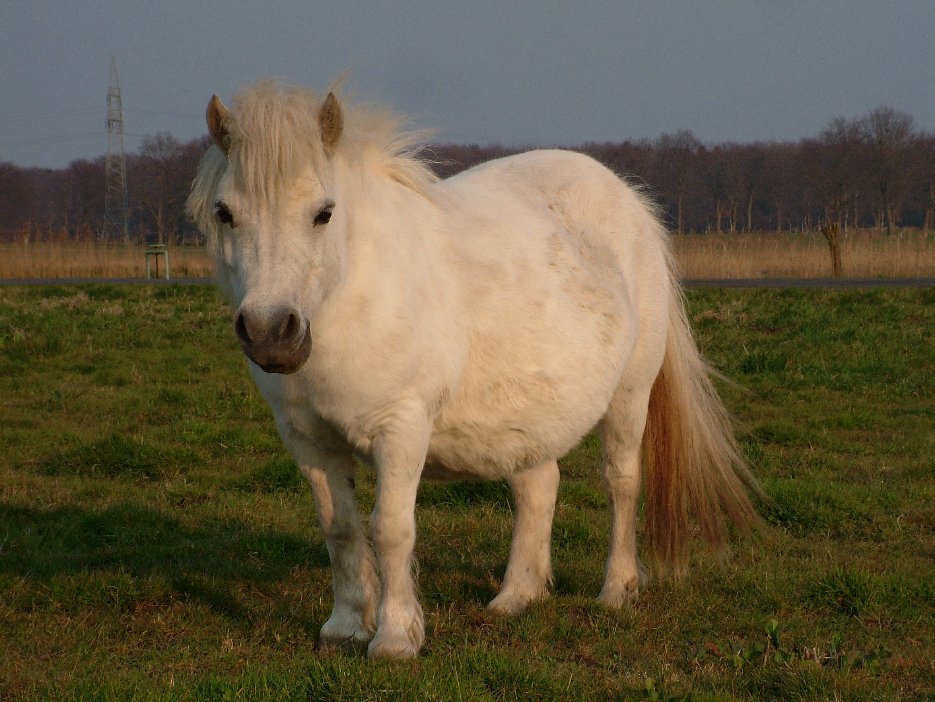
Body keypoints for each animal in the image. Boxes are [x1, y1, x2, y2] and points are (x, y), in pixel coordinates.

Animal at [185, 81, 760, 660]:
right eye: (224, 213)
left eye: (323, 213)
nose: (269, 331)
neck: (355, 292)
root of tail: (629, 199)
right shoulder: (309, 443)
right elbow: (340, 530)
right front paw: (344, 628)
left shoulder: (401, 430)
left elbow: (390, 529)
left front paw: (395, 639)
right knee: (538, 487)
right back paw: (517, 596)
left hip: (629, 395)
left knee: (621, 483)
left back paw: (617, 590)